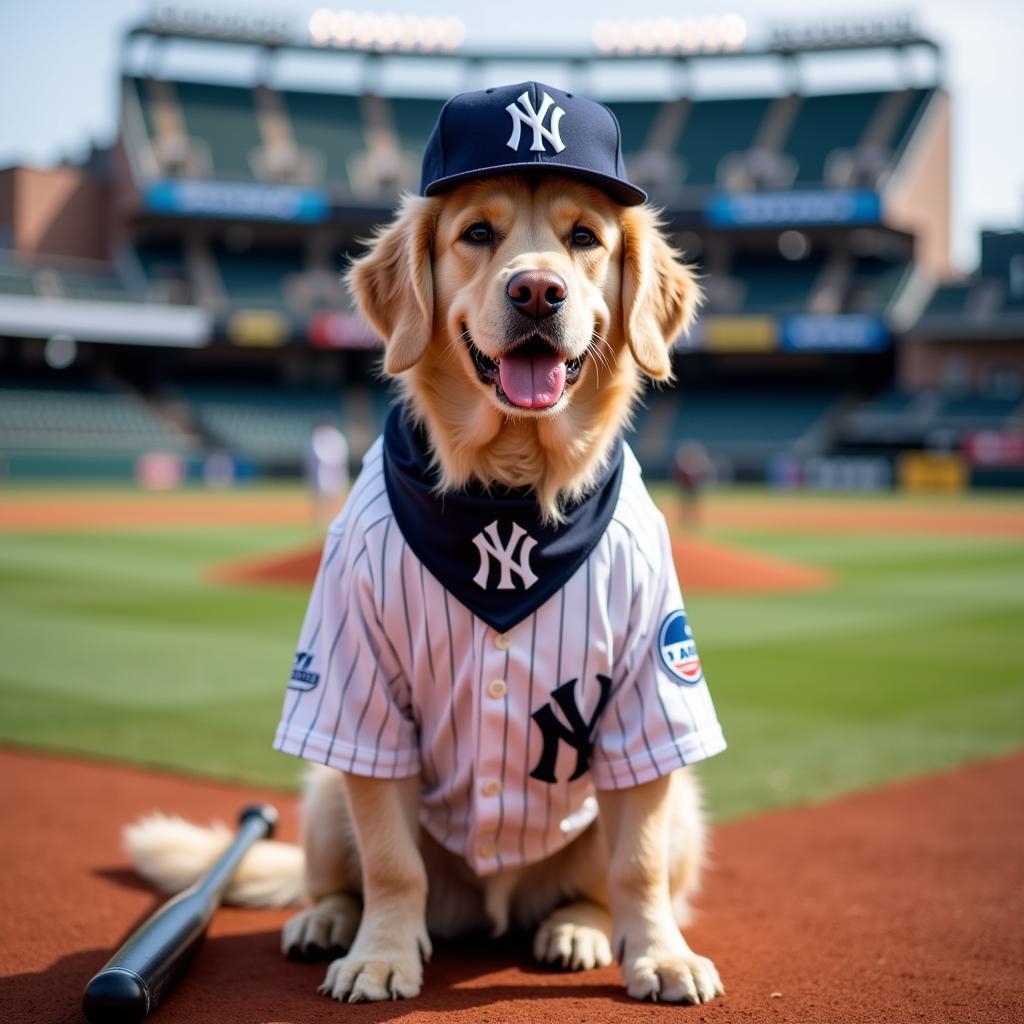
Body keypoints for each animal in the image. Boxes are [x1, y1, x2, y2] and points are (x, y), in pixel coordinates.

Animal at [125, 81, 729, 1007]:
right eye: (476, 234)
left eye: (584, 238)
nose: (538, 291)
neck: (506, 496)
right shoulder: (358, 691)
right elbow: (390, 861)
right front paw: (379, 952)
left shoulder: (651, 691)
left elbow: (638, 862)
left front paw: (660, 953)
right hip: (324, 789)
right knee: (336, 874)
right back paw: (329, 919)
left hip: (684, 800)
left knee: (605, 880)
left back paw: (580, 929)